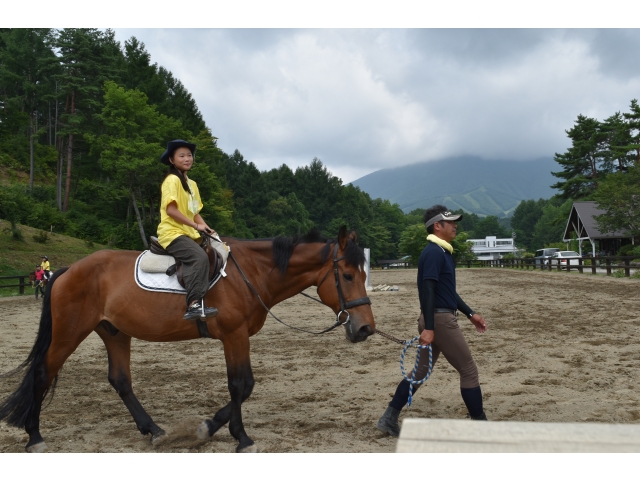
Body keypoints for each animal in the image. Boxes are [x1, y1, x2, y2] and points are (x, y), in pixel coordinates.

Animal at [0, 227, 376, 452]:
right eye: (346, 275)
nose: (365, 329)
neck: (250, 274)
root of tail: (68, 270)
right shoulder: (234, 336)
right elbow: (242, 385)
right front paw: (239, 437)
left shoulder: (236, 337)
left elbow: (242, 388)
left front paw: (210, 427)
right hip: (69, 332)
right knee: (42, 373)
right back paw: (34, 436)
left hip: (115, 332)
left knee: (120, 380)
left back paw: (153, 430)